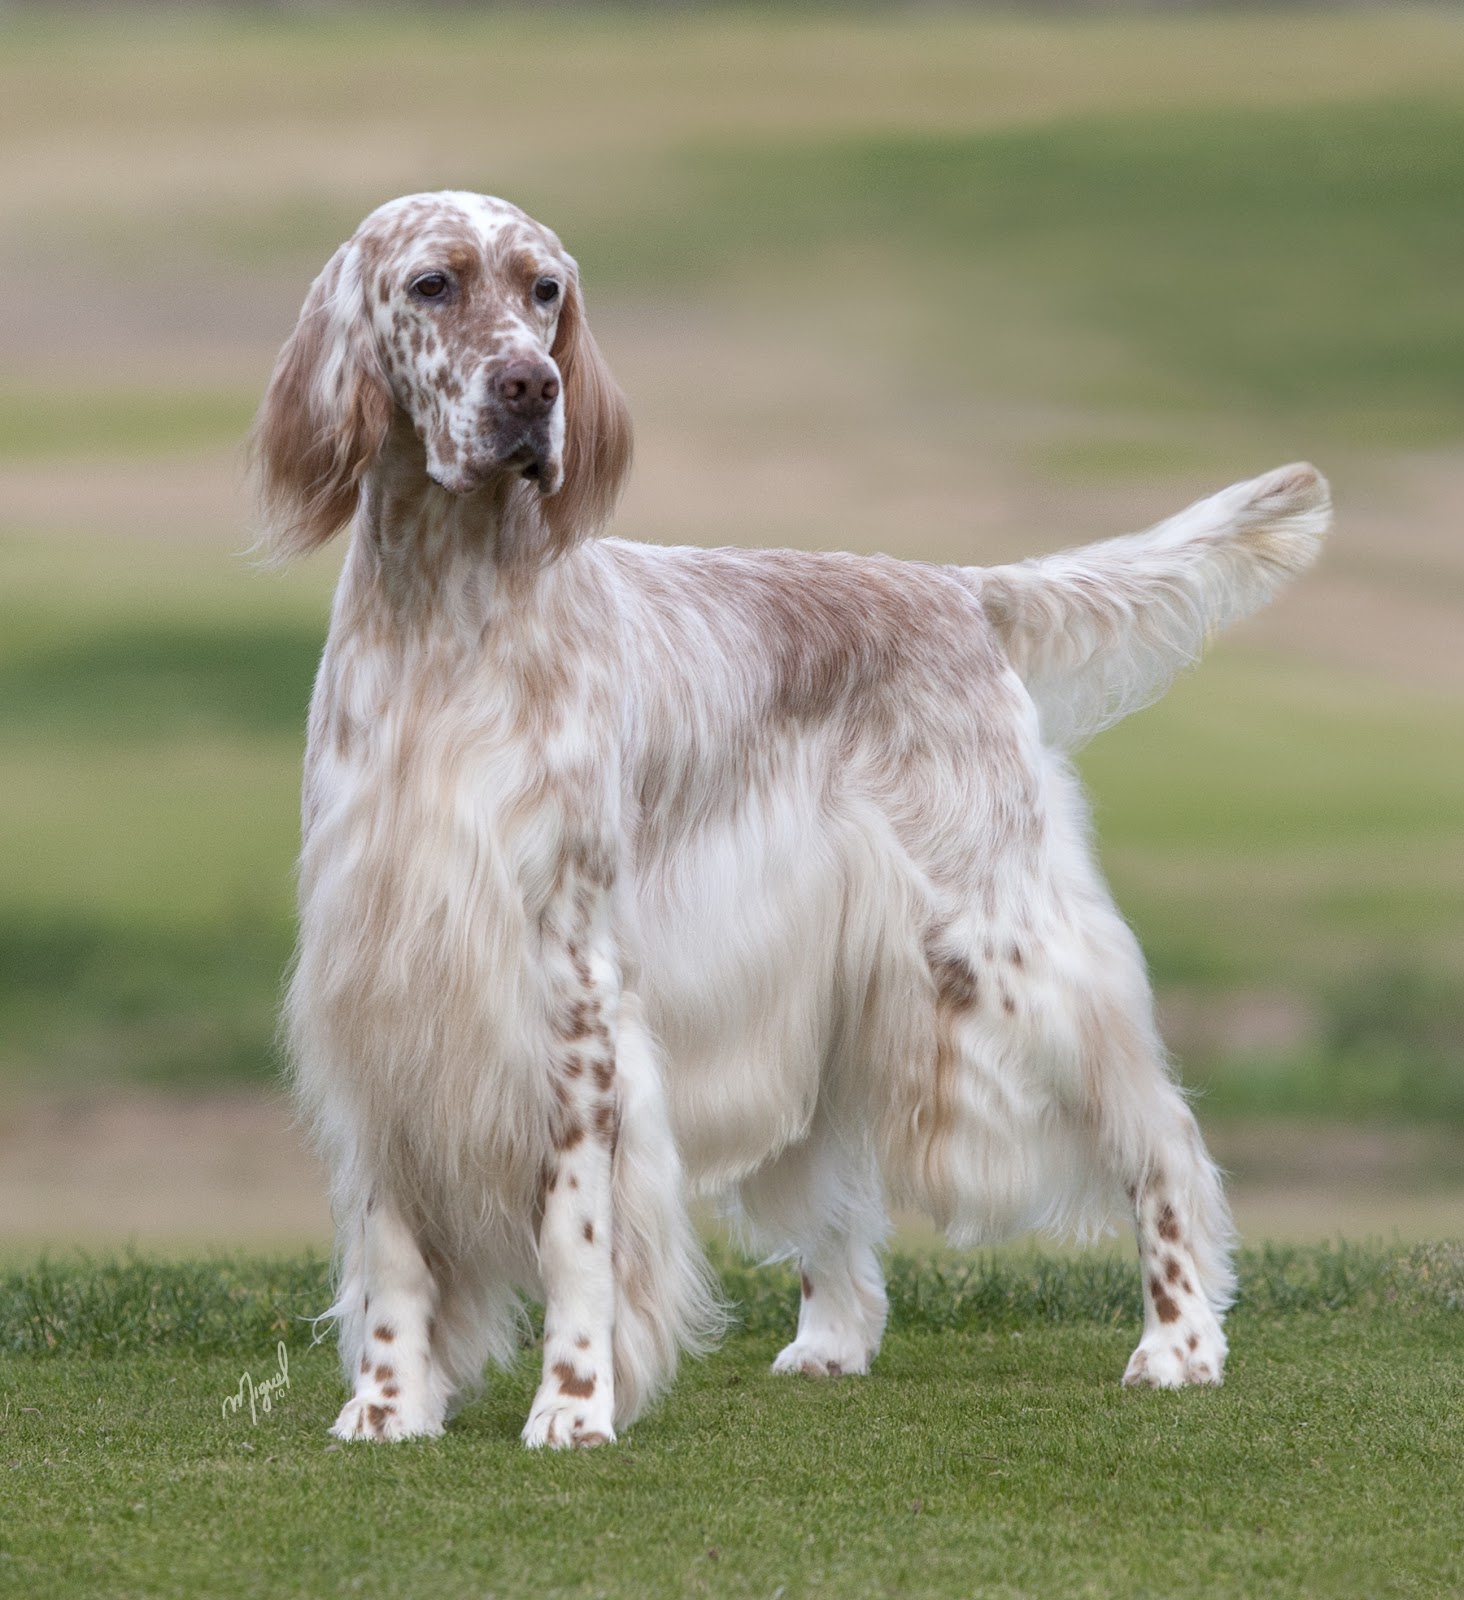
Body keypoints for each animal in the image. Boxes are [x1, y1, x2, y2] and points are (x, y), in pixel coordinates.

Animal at [249, 190, 1331, 1452]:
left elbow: (577, 1231)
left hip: (1006, 945)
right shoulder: (374, 984)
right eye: (433, 284)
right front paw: (386, 1404)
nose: (531, 387)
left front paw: (574, 1402)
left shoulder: (575, 987)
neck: (448, 618)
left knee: (1161, 1137)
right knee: (840, 1183)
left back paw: (1180, 1339)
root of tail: (959, 591)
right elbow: (391, 1245)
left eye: (544, 290)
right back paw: (832, 1339)